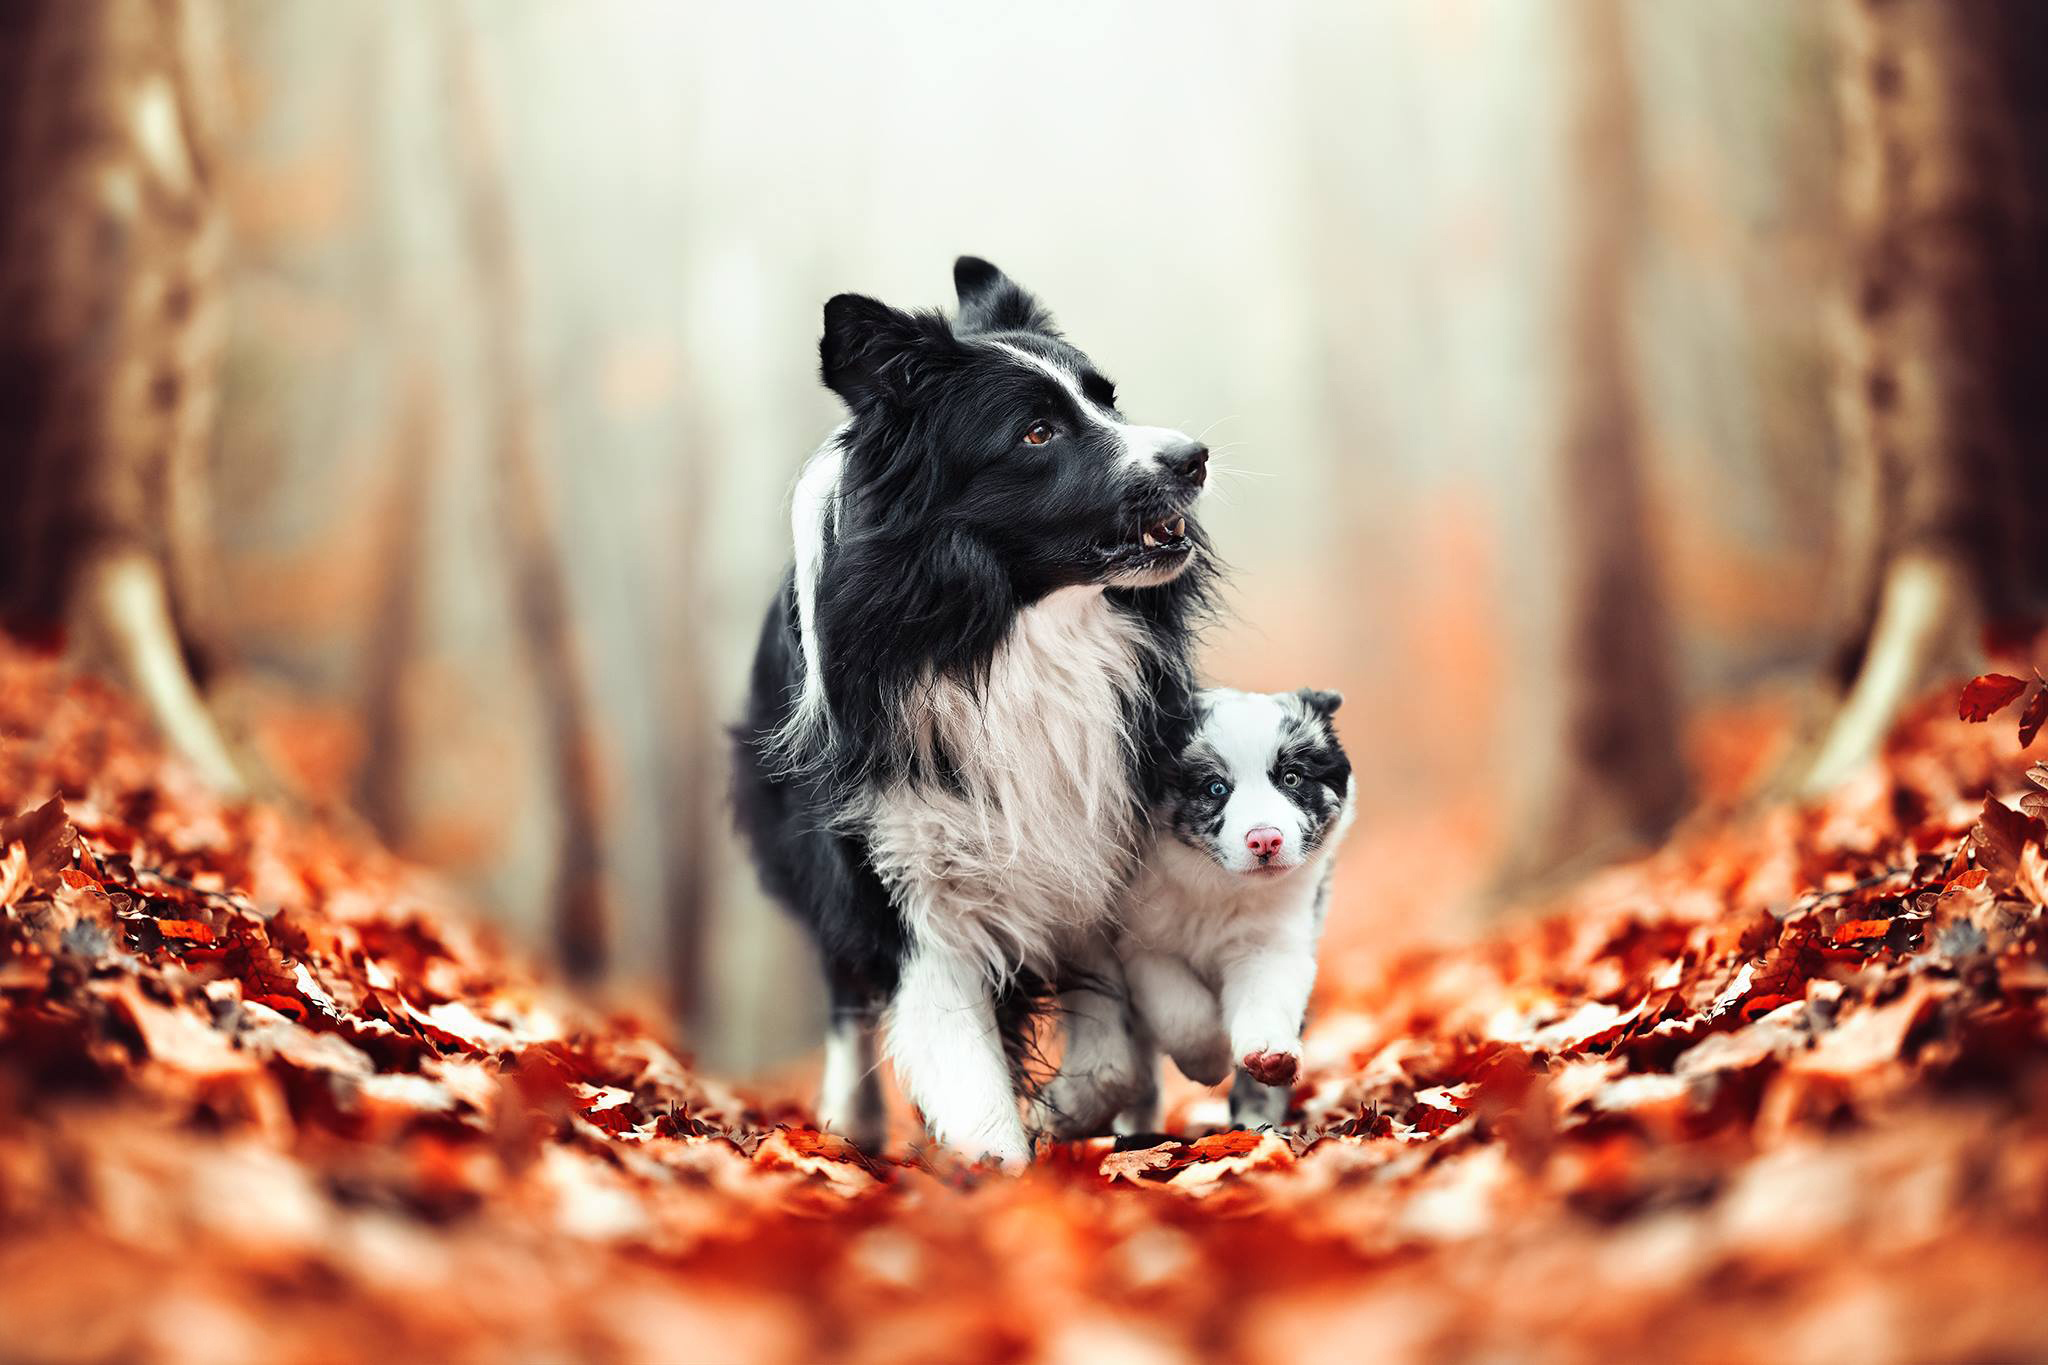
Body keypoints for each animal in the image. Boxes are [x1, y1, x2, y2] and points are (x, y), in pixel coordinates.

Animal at [737, 255, 1212, 1162]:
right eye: (1037, 433)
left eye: (1108, 399)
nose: (1196, 455)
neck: (1008, 637)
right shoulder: (903, 882)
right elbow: (967, 1071)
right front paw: (1004, 1171)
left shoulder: (1095, 836)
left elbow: (1112, 1037)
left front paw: (1081, 1107)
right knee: (845, 995)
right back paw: (848, 1123)